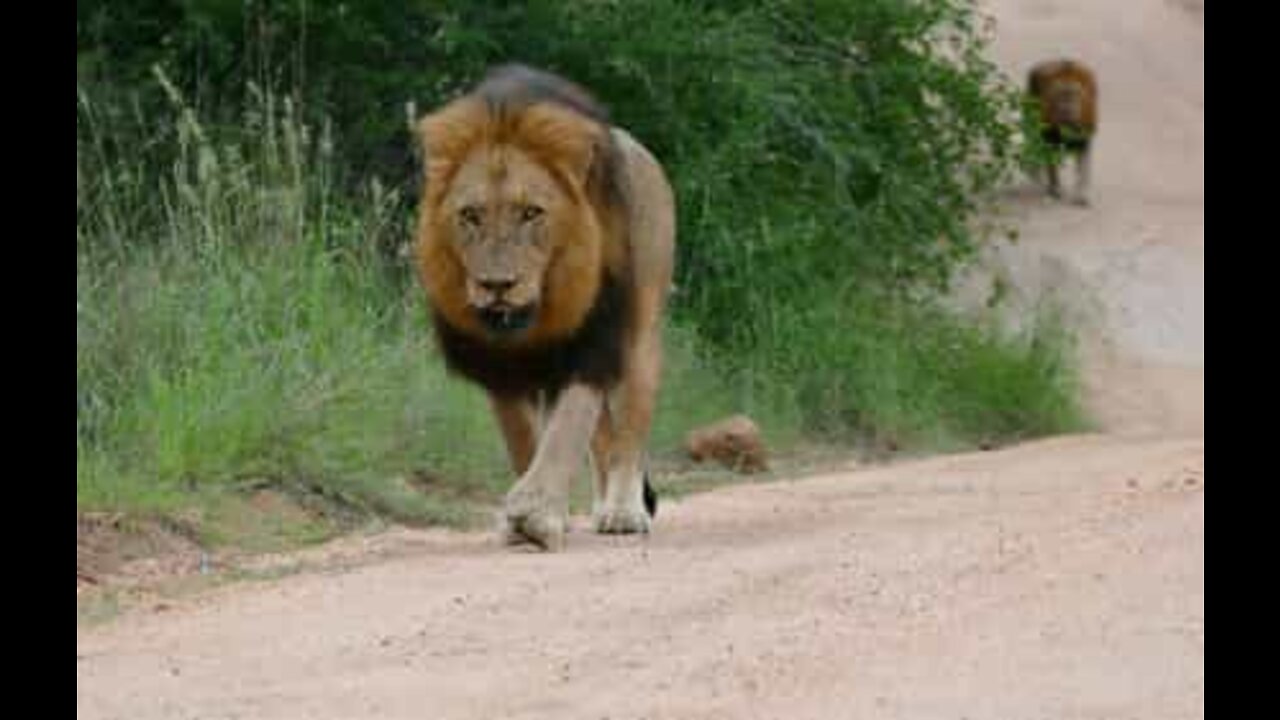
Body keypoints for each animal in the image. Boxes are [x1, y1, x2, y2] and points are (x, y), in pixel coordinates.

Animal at [414, 65, 680, 548]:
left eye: (531, 213)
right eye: (470, 215)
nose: (497, 285)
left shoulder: (590, 342)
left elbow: (565, 430)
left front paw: (536, 513)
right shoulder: (498, 363)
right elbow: (524, 438)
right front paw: (527, 515)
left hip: (641, 335)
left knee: (630, 427)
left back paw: (622, 512)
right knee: (603, 437)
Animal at [1024, 57, 1095, 204]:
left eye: (1074, 96)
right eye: (1061, 96)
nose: (1067, 110)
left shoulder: (1084, 139)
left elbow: (1083, 170)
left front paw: (1082, 196)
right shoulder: (1050, 138)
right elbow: (1052, 167)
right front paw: (1055, 190)